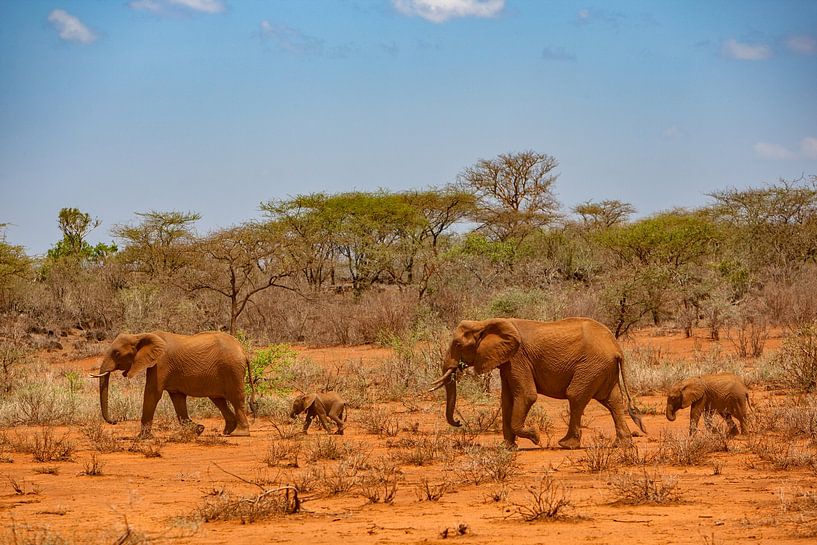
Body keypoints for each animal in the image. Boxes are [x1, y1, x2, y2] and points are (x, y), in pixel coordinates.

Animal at [91, 331, 251, 438]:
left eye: (117, 354)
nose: (115, 421)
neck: (140, 335)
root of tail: (243, 350)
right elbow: (177, 399)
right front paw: (198, 429)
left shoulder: (161, 363)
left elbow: (152, 394)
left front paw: (142, 438)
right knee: (219, 400)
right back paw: (226, 432)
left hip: (232, 369)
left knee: (236, 399)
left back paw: (240, 433)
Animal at [430, 317, 645, 449]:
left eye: (457, 344)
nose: (458, 422)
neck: (486, 322)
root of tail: (617, 347)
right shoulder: (507, 361)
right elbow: (507, 400)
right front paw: (507, 448)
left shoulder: (518, 358)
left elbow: (526, 396)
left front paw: (535, 436)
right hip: (603, 368)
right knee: (612, 400)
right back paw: (622, 444)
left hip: (592, 366)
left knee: (576, 395)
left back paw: (566, 445)